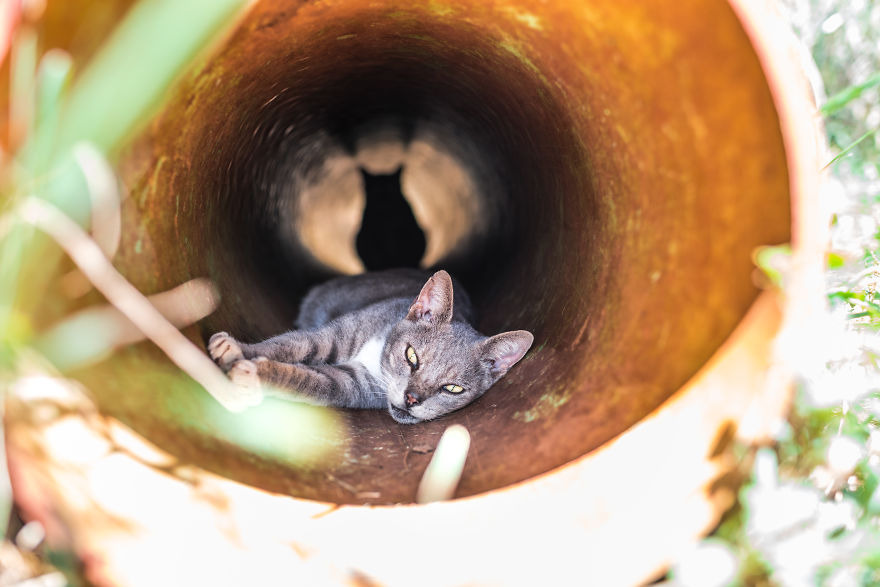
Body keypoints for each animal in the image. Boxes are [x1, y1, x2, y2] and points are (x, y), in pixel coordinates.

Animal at [210, 268, 532, 424]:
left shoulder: (351, 384)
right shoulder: (332, 336)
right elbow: (288, 345)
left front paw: (256, 375)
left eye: (452, 388)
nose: (412, 399)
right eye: (412, 356)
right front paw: (235, 349)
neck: (378, 357)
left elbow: (307, 380)